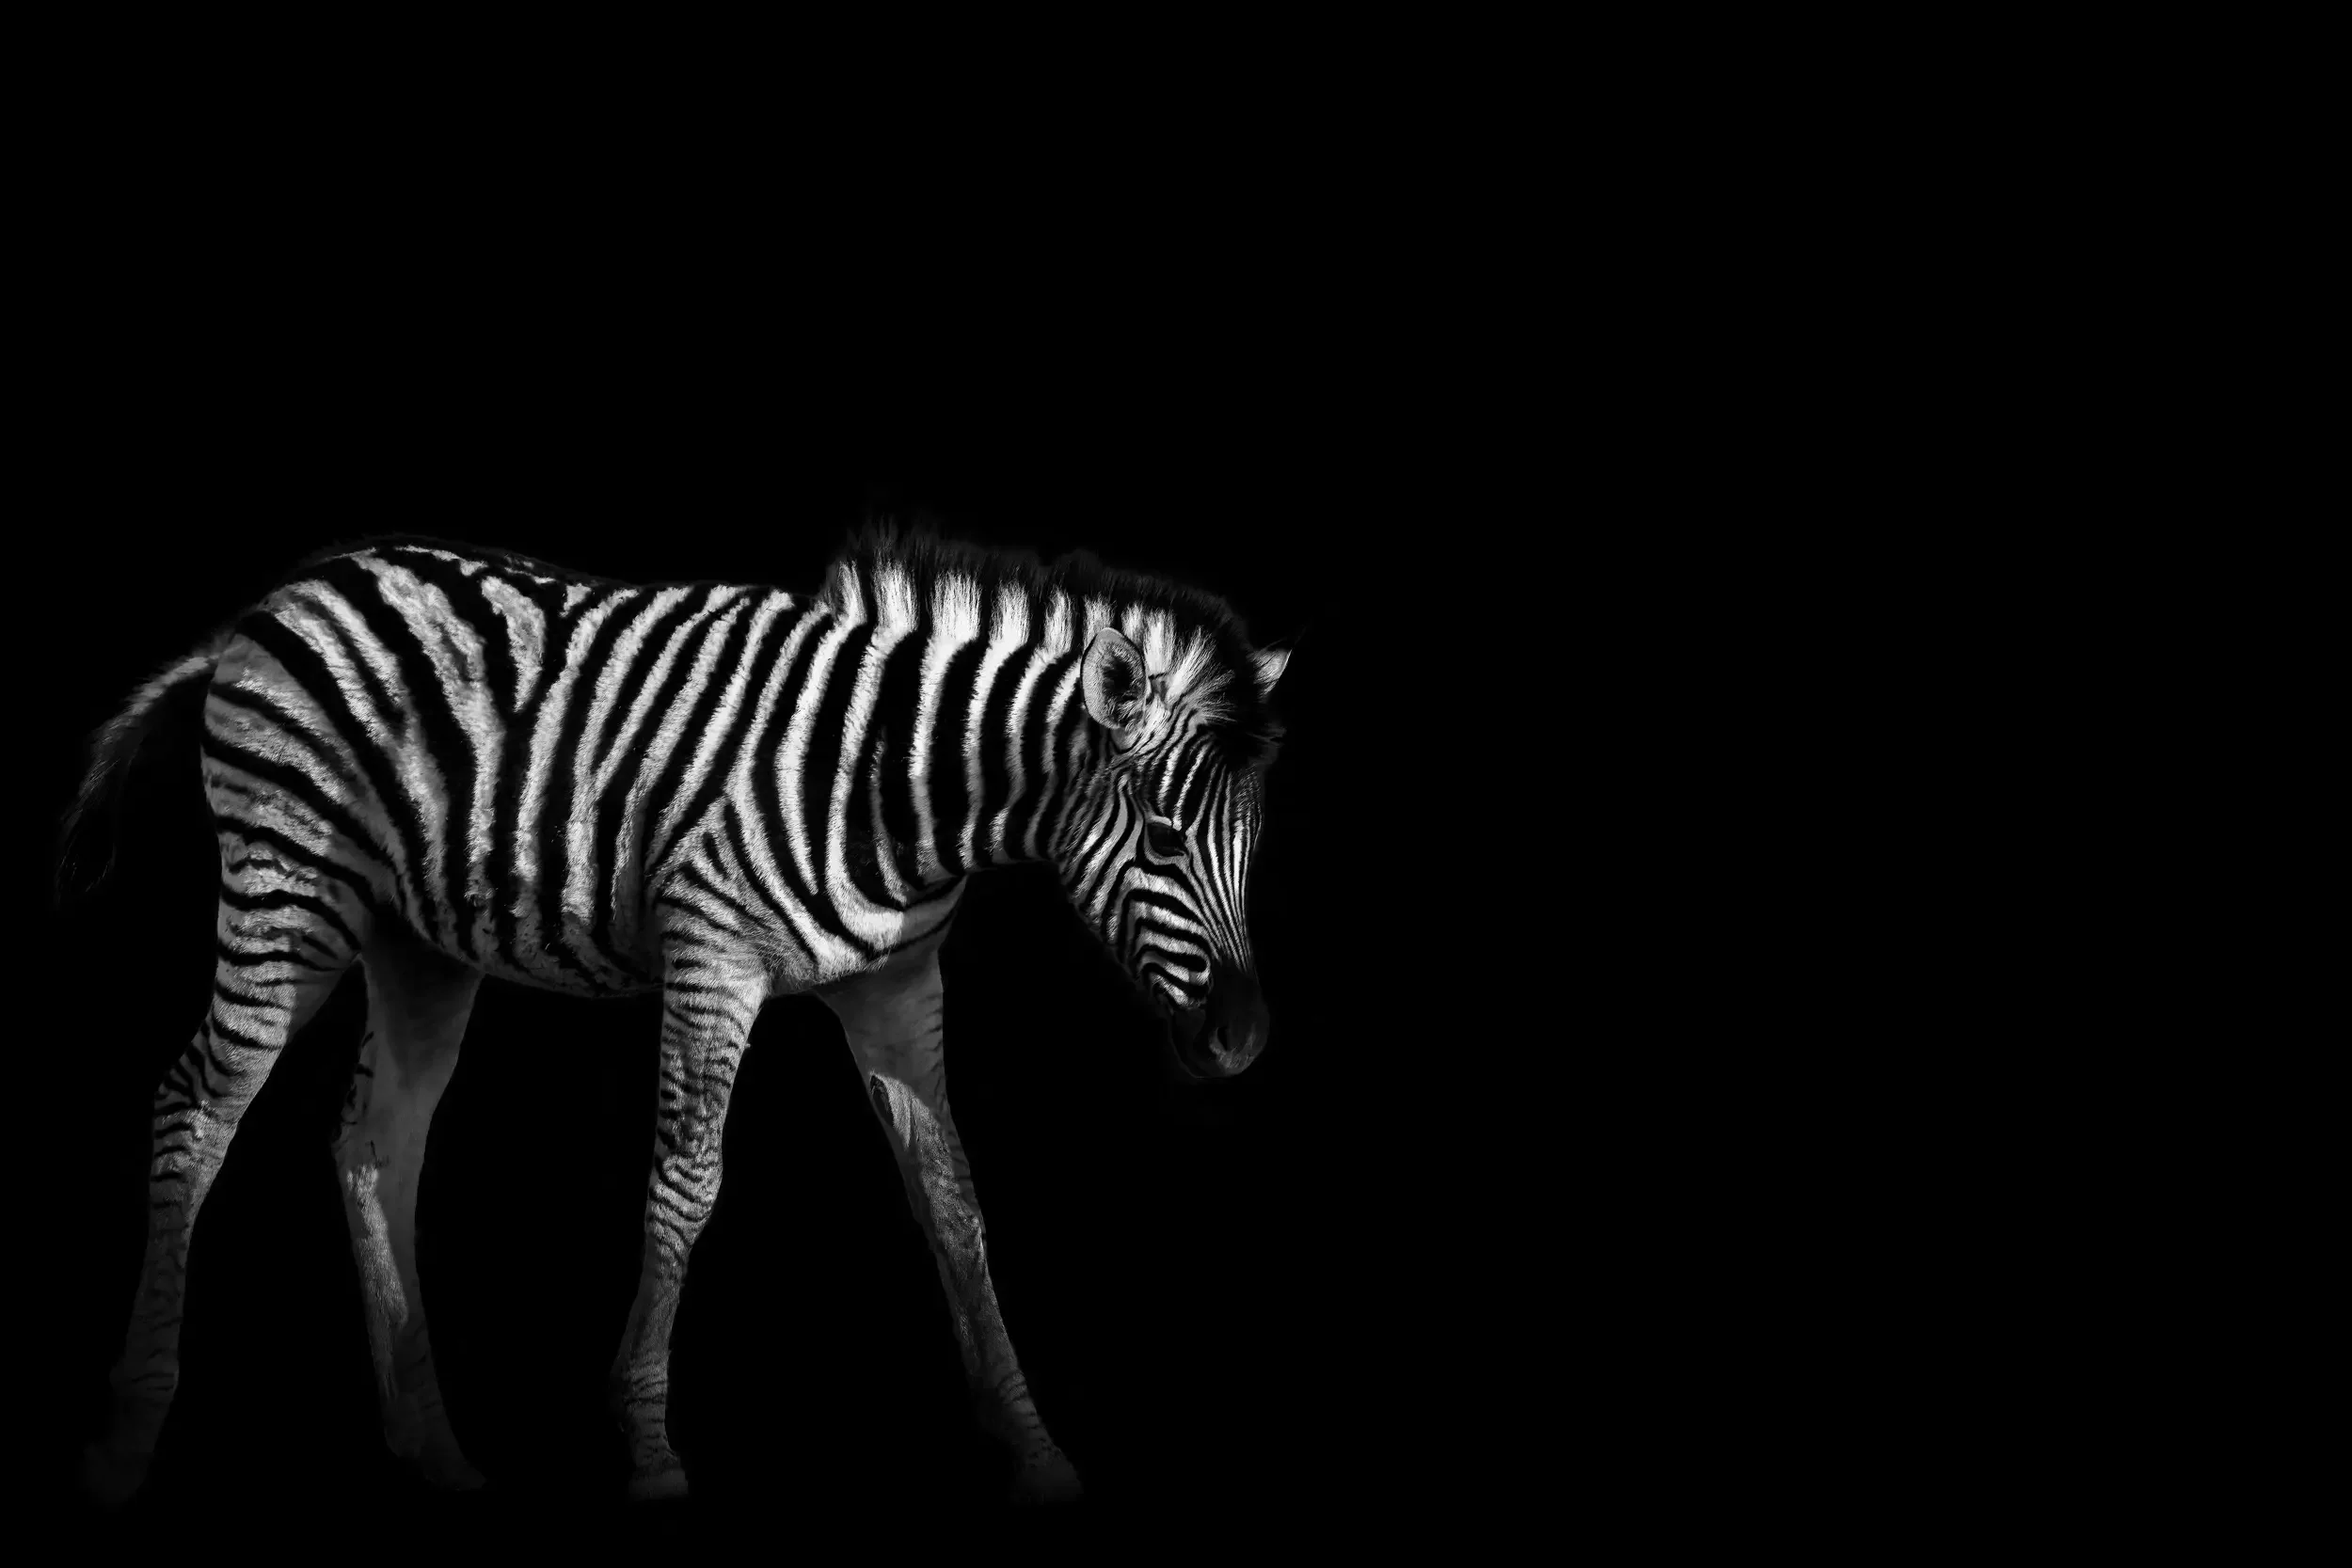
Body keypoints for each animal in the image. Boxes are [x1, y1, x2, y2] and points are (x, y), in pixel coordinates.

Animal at [68, 528, 1290, 1508]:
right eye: (1166, 840)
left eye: (1251, 847)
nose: (1242, 1042)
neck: (895, 784)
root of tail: (268, 605)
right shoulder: (713, 953)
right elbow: (686, 1184)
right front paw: (649, 1447)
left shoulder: (896, 985)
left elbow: (954, 1200)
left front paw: (1035, 1449)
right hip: (289, 887)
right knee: (195, 1106)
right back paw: (129, 1435)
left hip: (417, 944)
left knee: (375, 1146)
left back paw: (436, 1446)